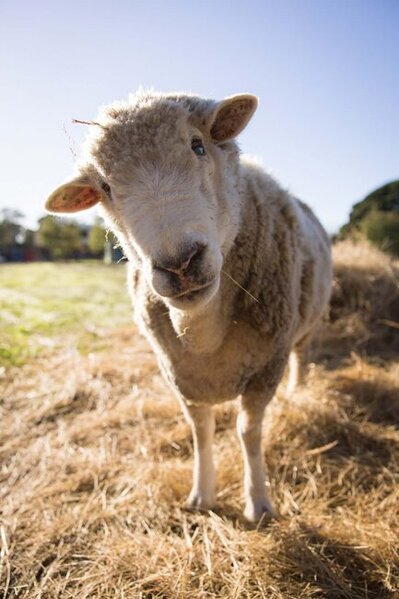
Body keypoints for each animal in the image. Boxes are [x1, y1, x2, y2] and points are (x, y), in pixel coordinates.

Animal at [46, 91, 334, 524]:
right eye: (106, 187)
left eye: (198, 146)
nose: (180, 263)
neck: (203, 330)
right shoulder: (181, 376)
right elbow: (201, 432)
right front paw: (202, 495)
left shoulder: (265, 370)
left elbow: (248, 433)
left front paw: (259, 503)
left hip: (305, 326)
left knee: (301, 356)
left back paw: (296, 391)